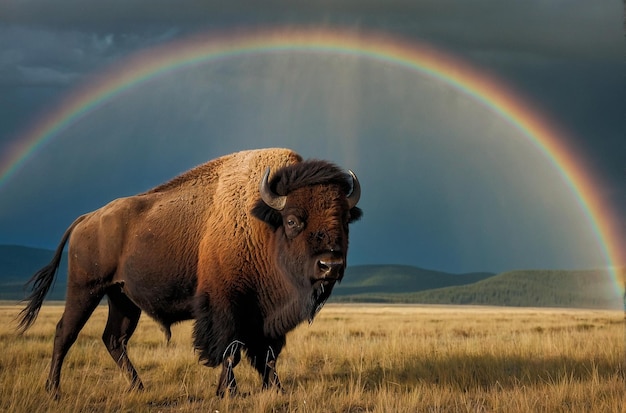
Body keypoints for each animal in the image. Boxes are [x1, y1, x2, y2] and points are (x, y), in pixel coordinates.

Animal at [15, 148, 360, 396]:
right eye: (292, 220)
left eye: (345, 220)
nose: (330, 266)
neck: (263, 224)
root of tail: (87, 218)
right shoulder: (227, 306)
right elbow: (230, 351)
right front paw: (229, 392)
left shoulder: (266, 316)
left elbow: (268, 354)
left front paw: (276, 390)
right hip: (86, 288)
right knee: (65, 333)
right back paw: (53, 390)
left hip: (122, 297)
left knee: (114, 339)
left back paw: (139, 388)